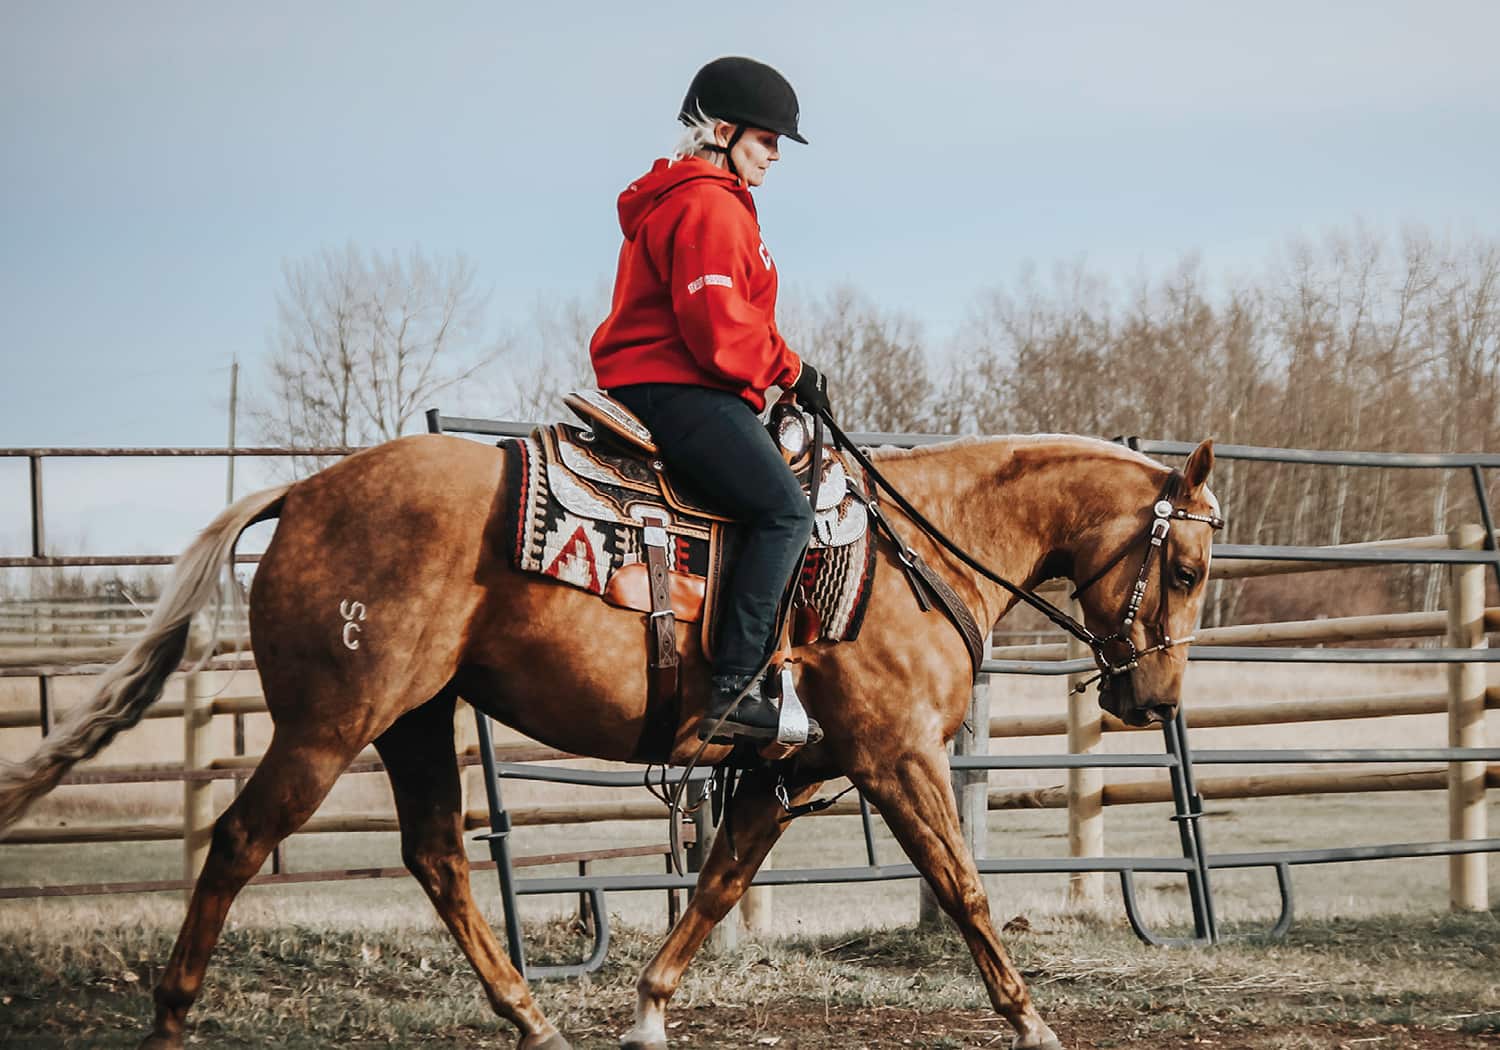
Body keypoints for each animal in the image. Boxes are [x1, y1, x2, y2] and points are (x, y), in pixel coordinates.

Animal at [0, 428, 1220, 1050]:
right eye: (1191, 564)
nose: (1153, 699)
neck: (915, 553)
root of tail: (303, 491)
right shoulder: (896, 755)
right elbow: (965, 890)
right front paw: (1035, 1026)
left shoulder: (787, 774)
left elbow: (719, 883)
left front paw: (646, 1014)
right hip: (328, 726)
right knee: (239, 844)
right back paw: (171, 1023)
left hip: (415, 724)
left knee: (436, 856)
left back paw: (533, 1020)